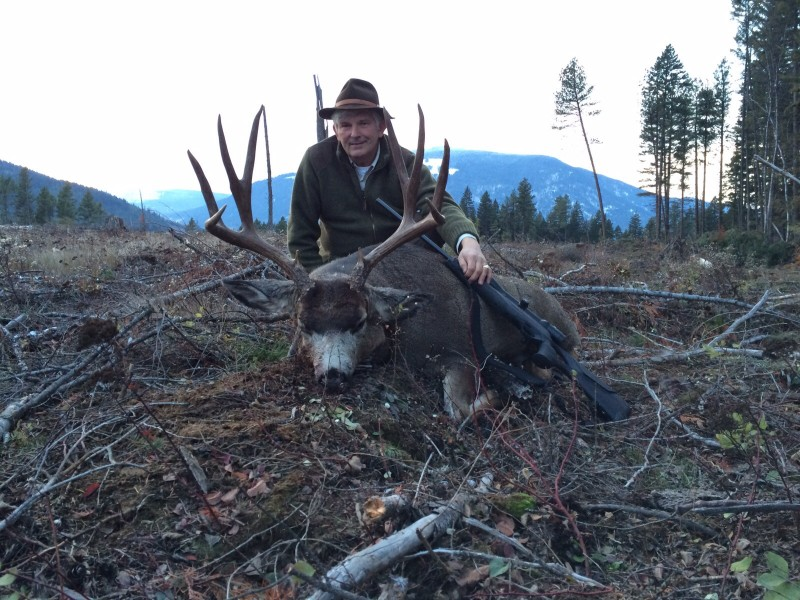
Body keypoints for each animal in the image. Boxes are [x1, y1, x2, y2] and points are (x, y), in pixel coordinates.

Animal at [191, 105, 584, 420]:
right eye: (303, 324)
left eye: (360, 321)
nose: (332, 375)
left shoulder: (462, 352)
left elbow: (461, 407)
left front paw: (502, 390)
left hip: (562, 339)